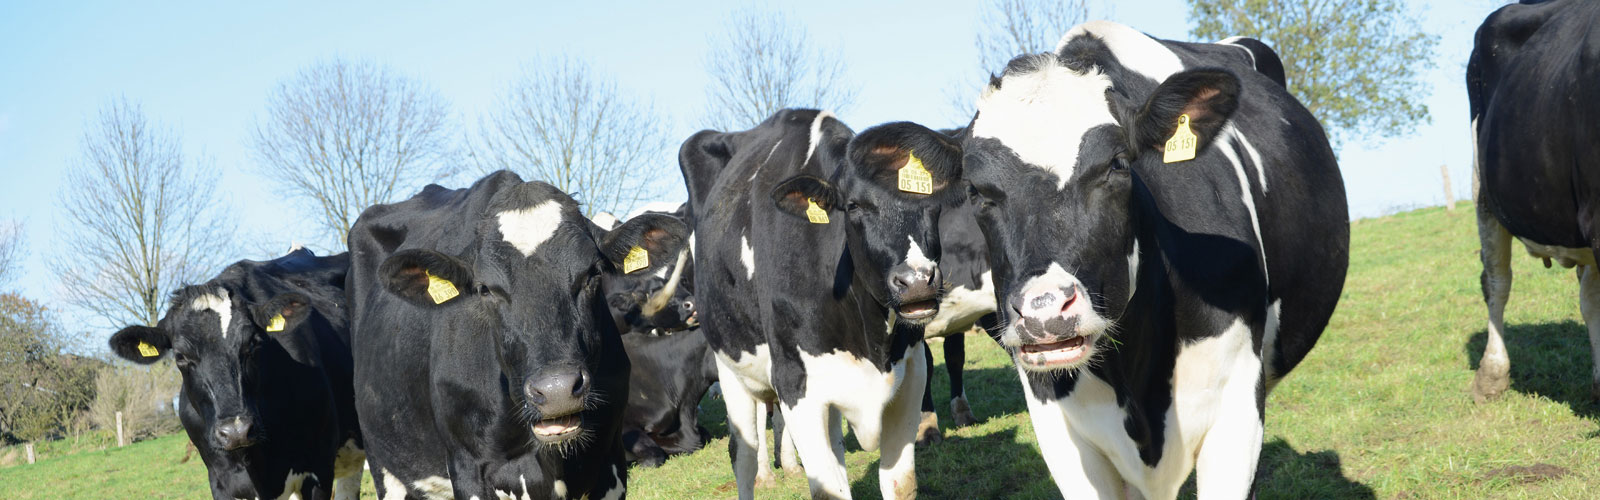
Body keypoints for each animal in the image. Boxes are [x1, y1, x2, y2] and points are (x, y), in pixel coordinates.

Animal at [347, 171, 684, 500]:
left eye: (593, 273)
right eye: (484, 289)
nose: (556, 390)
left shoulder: (610, 456)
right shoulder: (468, 466)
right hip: (383, 463)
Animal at [675, 107, 960, 496]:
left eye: (931, 204)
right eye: (853, 206)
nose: (916, 281)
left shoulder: (912, 373)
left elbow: (900, 484)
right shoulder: (796, 384)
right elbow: (828, 489)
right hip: (730, 367)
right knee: (743, 454)